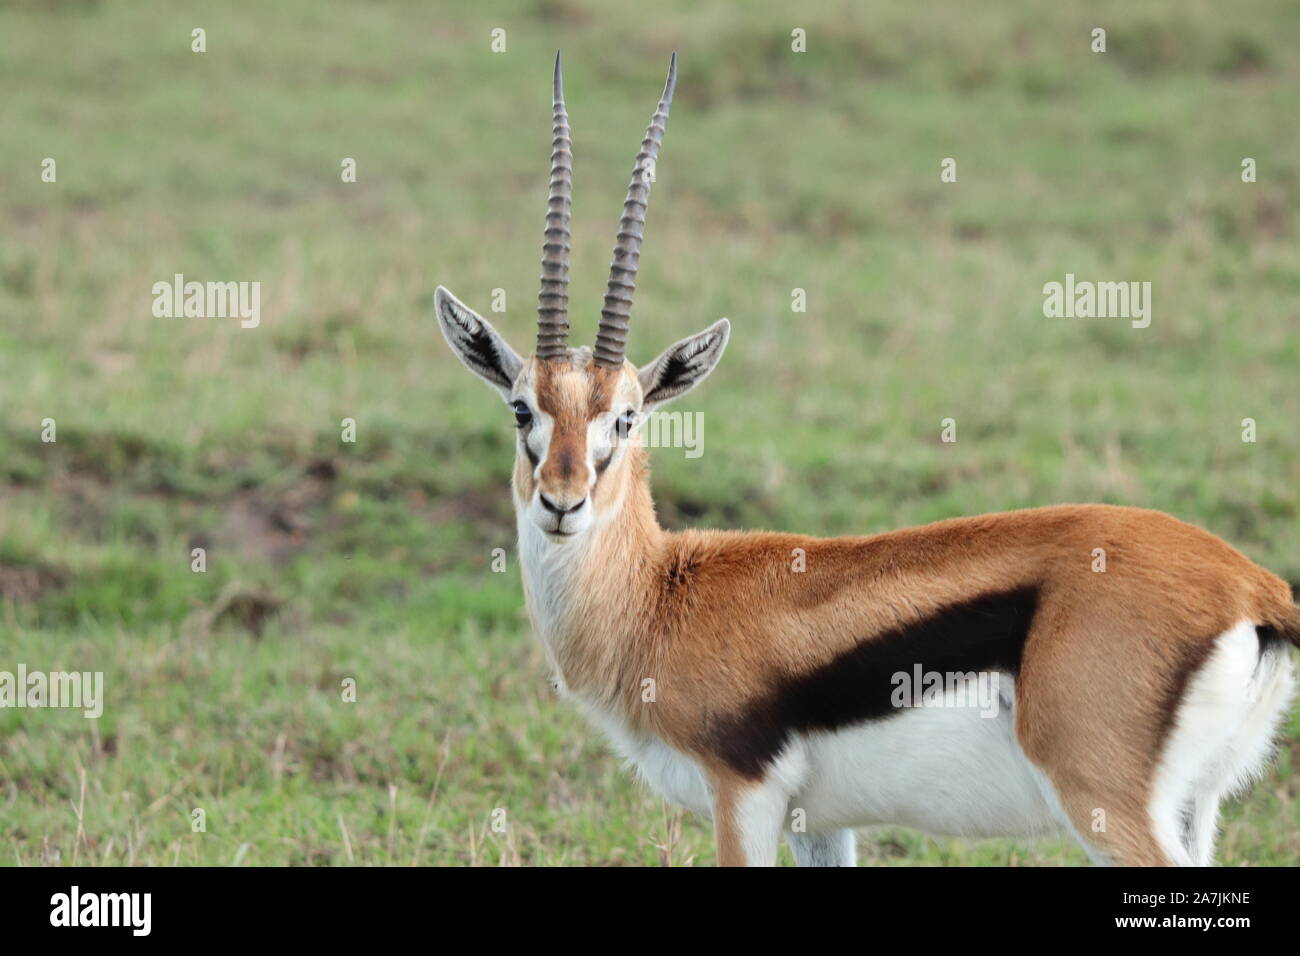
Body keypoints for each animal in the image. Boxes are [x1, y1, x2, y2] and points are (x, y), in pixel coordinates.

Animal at [435, 53, 1299, 866]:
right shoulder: (818, 822)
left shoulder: (741, 795)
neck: (658, 598)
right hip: (1193, 808)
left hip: (1104, 803)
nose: (562, 503)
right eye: (523, 410)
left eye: (626, 417)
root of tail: (1252, 587)